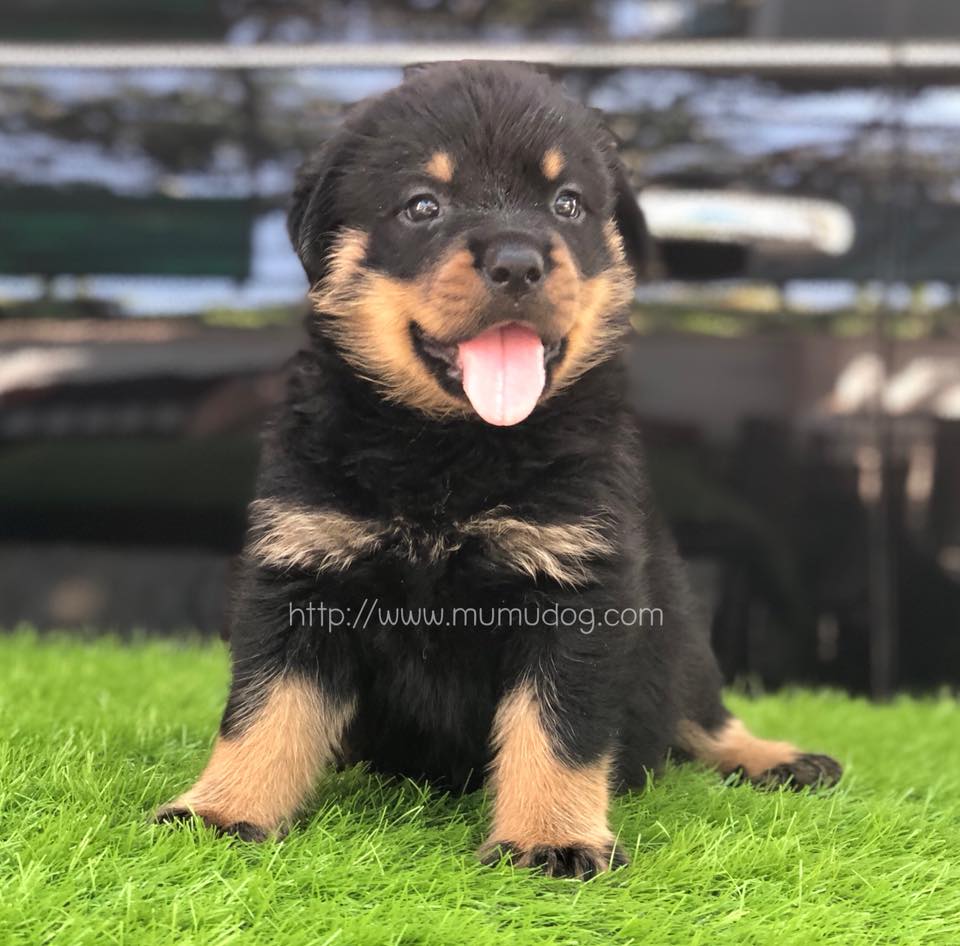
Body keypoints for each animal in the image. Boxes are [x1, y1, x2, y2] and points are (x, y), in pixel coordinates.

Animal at [157, 61, 841, 879]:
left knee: (700, 714)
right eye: (423, 205)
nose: (518, 261)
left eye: (567, 203)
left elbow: (558, 728)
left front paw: (552, 838)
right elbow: (264, 711)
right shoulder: (301, 573)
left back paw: (779, 757)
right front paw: (221, 809)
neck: (450, 451)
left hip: (676, 624)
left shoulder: (579, 588)